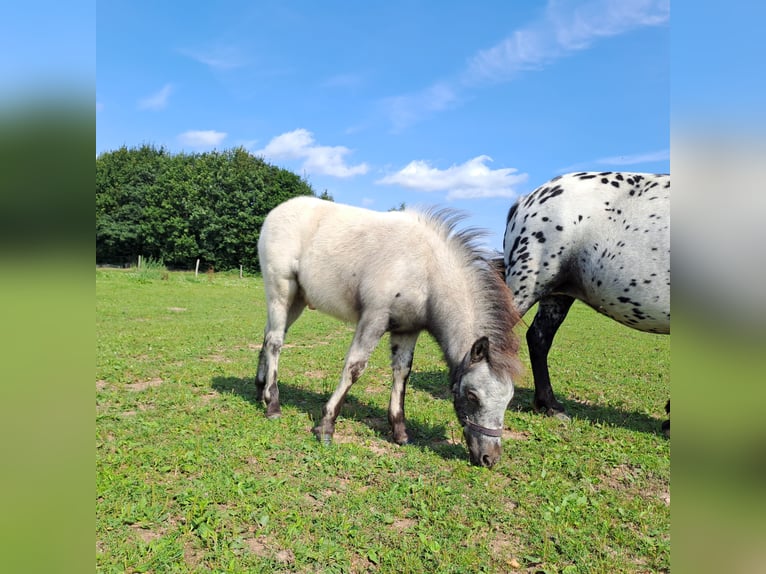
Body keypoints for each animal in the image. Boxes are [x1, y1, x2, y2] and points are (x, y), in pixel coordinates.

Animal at [256, 197, 520, 468]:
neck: (425, 269)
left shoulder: (408, 330)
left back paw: (260, 390)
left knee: (269, 335)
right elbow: (354, 368)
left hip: (297, 299)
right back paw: (273, 405)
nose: (489, 458)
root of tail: (278, 211)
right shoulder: (374, 318)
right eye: (472, 395)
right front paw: (326, 426)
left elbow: (402, 373)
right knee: (275, 341)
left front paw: (400, 432)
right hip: (281, 292)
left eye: (508, 400)